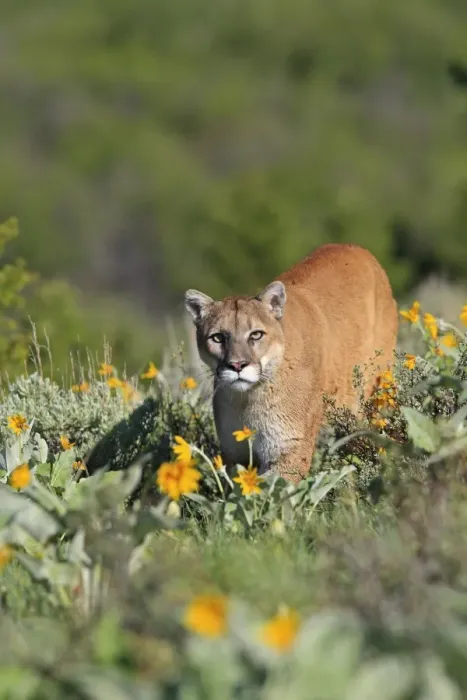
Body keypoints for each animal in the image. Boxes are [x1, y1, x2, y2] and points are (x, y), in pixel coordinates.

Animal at [184, 243, 398, 482]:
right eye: (218, 337)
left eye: (256, 334)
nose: (237, 365)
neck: (247, 400)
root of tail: (356, 247)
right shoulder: (234, 454)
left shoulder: (289, 451)